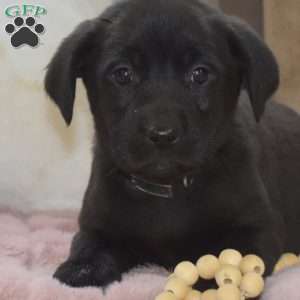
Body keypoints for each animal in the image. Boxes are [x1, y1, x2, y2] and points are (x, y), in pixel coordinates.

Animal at [44, 0, 300, 290]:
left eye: (200, 73)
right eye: (123, 74)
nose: (162, 134)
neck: (167, 191)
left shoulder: (257, 227)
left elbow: (230, 258)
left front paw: (209, 284)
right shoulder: (96, 224)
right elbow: (89, 245)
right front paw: (82, 269)